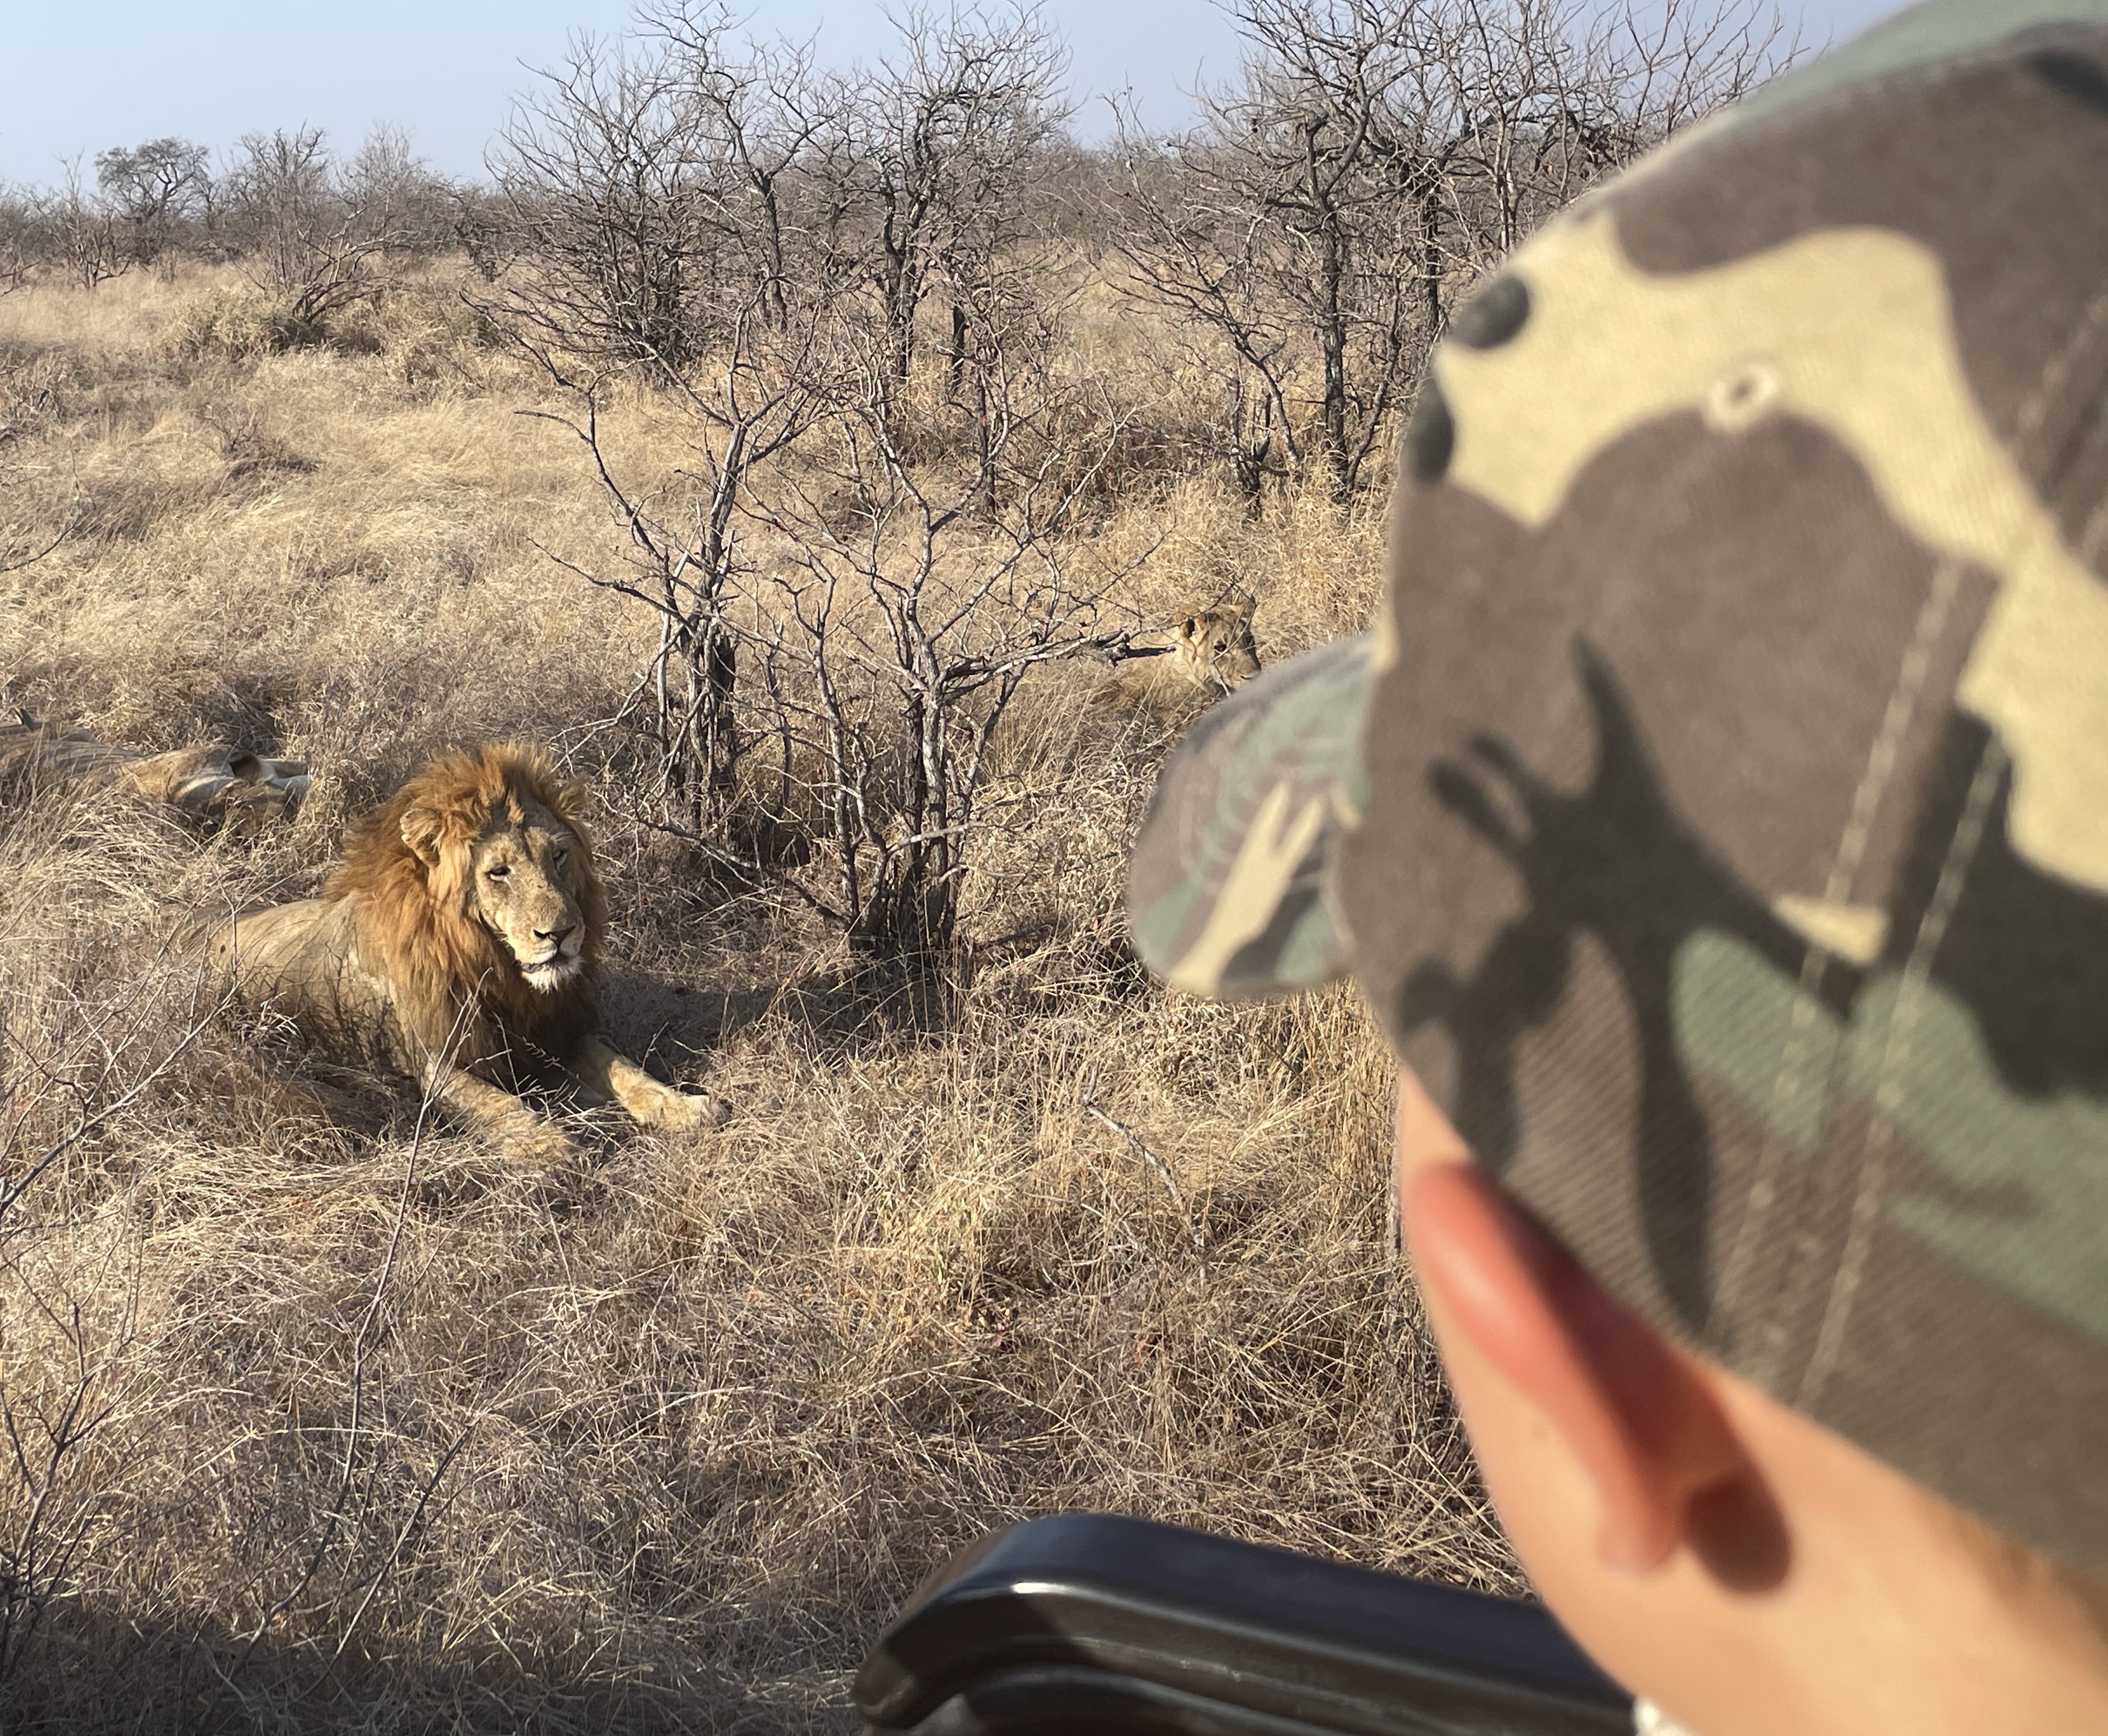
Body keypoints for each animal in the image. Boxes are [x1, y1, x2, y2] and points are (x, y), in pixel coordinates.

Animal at [213, 737, 725, 1163]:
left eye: (558, 855)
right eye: (499, 871)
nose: (560, 933)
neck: (498, 970)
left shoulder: (557, 1035)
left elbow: (622, 1067)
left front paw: (685, 1107)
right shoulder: (439, 1061)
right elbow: (499, 1105)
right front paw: (549, 1146)